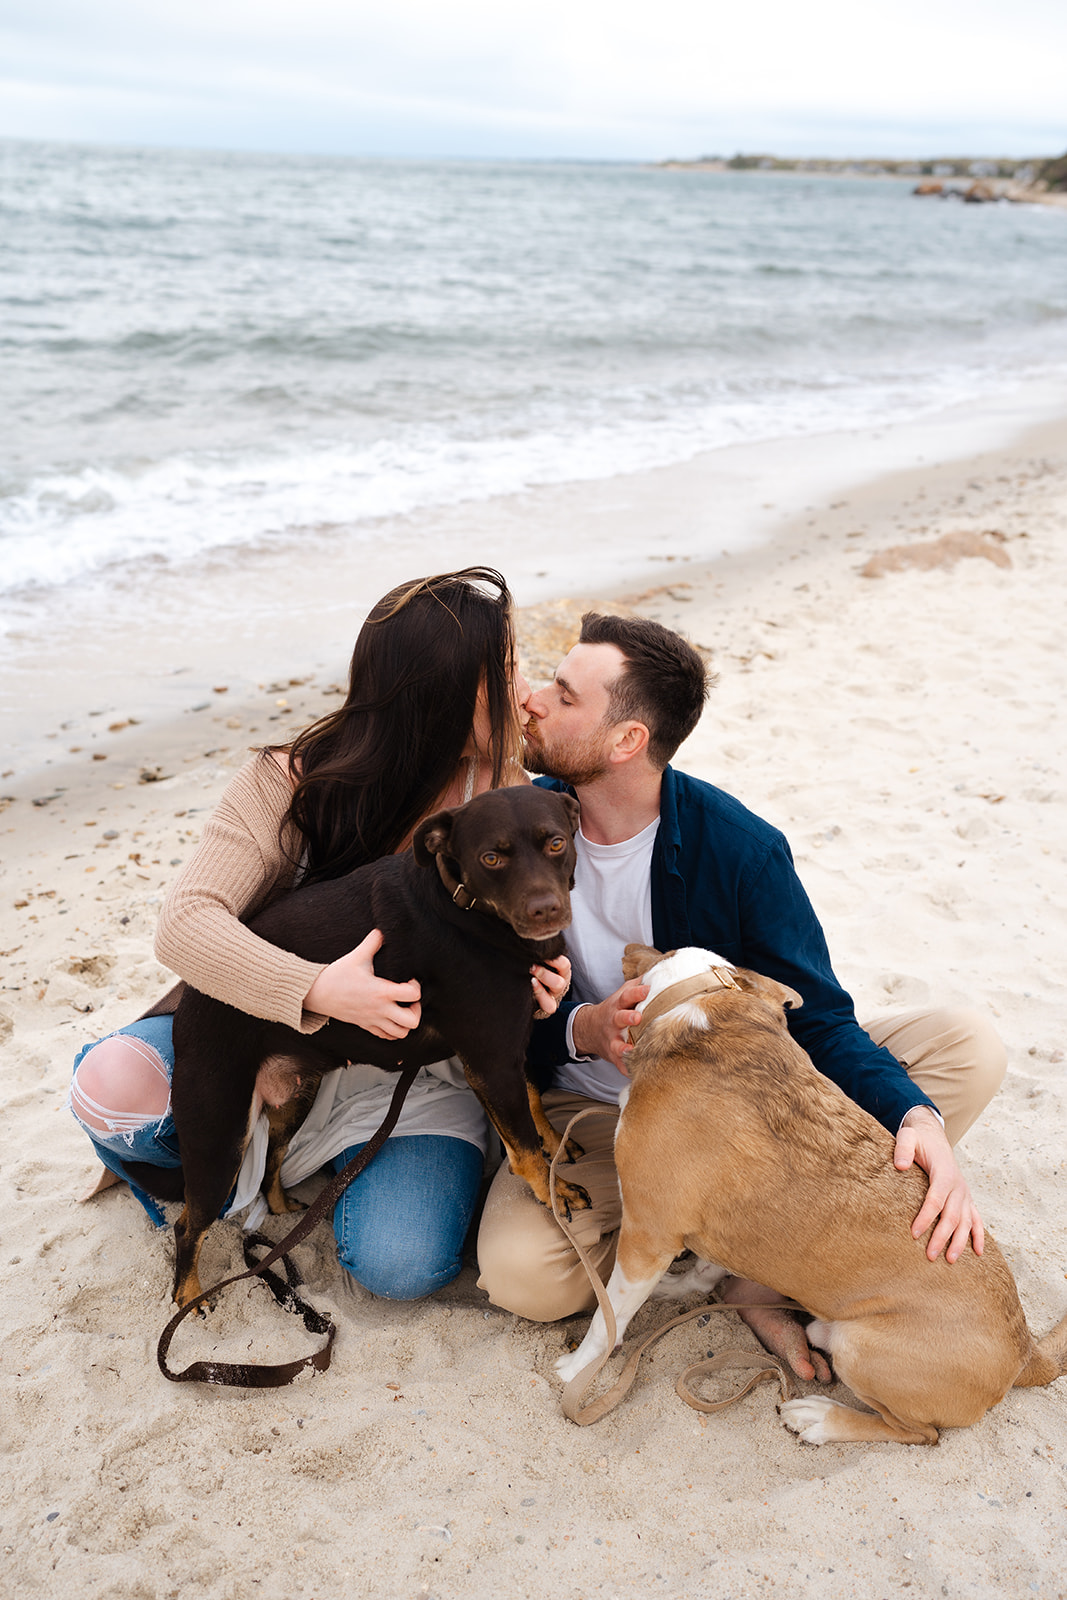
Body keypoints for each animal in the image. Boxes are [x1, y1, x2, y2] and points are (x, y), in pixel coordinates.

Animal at [559, 940, 1067, 1446]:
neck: (704, 1003)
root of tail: (1024, 1348)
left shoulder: (647, 1233)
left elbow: (609, 1318)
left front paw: (576, 1369)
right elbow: (704, 1269)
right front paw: (678, 1288)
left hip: (860, 1348)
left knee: (918, 1433)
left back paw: (821, 1418)